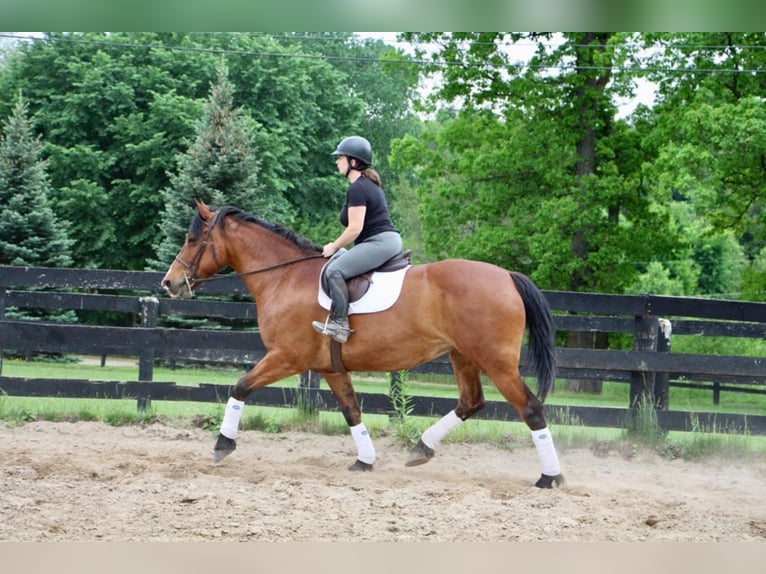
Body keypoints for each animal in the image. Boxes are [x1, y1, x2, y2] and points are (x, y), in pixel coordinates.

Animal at [160, 202, 564, 490]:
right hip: (462, 355)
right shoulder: (330, 368)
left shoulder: (286, 358)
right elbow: (351, 411)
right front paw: (365, 461)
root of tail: (507, 277)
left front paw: (222, 445)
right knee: (471, 402)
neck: (285, 276)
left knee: (530, 408)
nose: (169, 283)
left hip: (496, 362)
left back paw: (550, 477)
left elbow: (241, 386)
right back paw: (421, 449)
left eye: (193, 240)